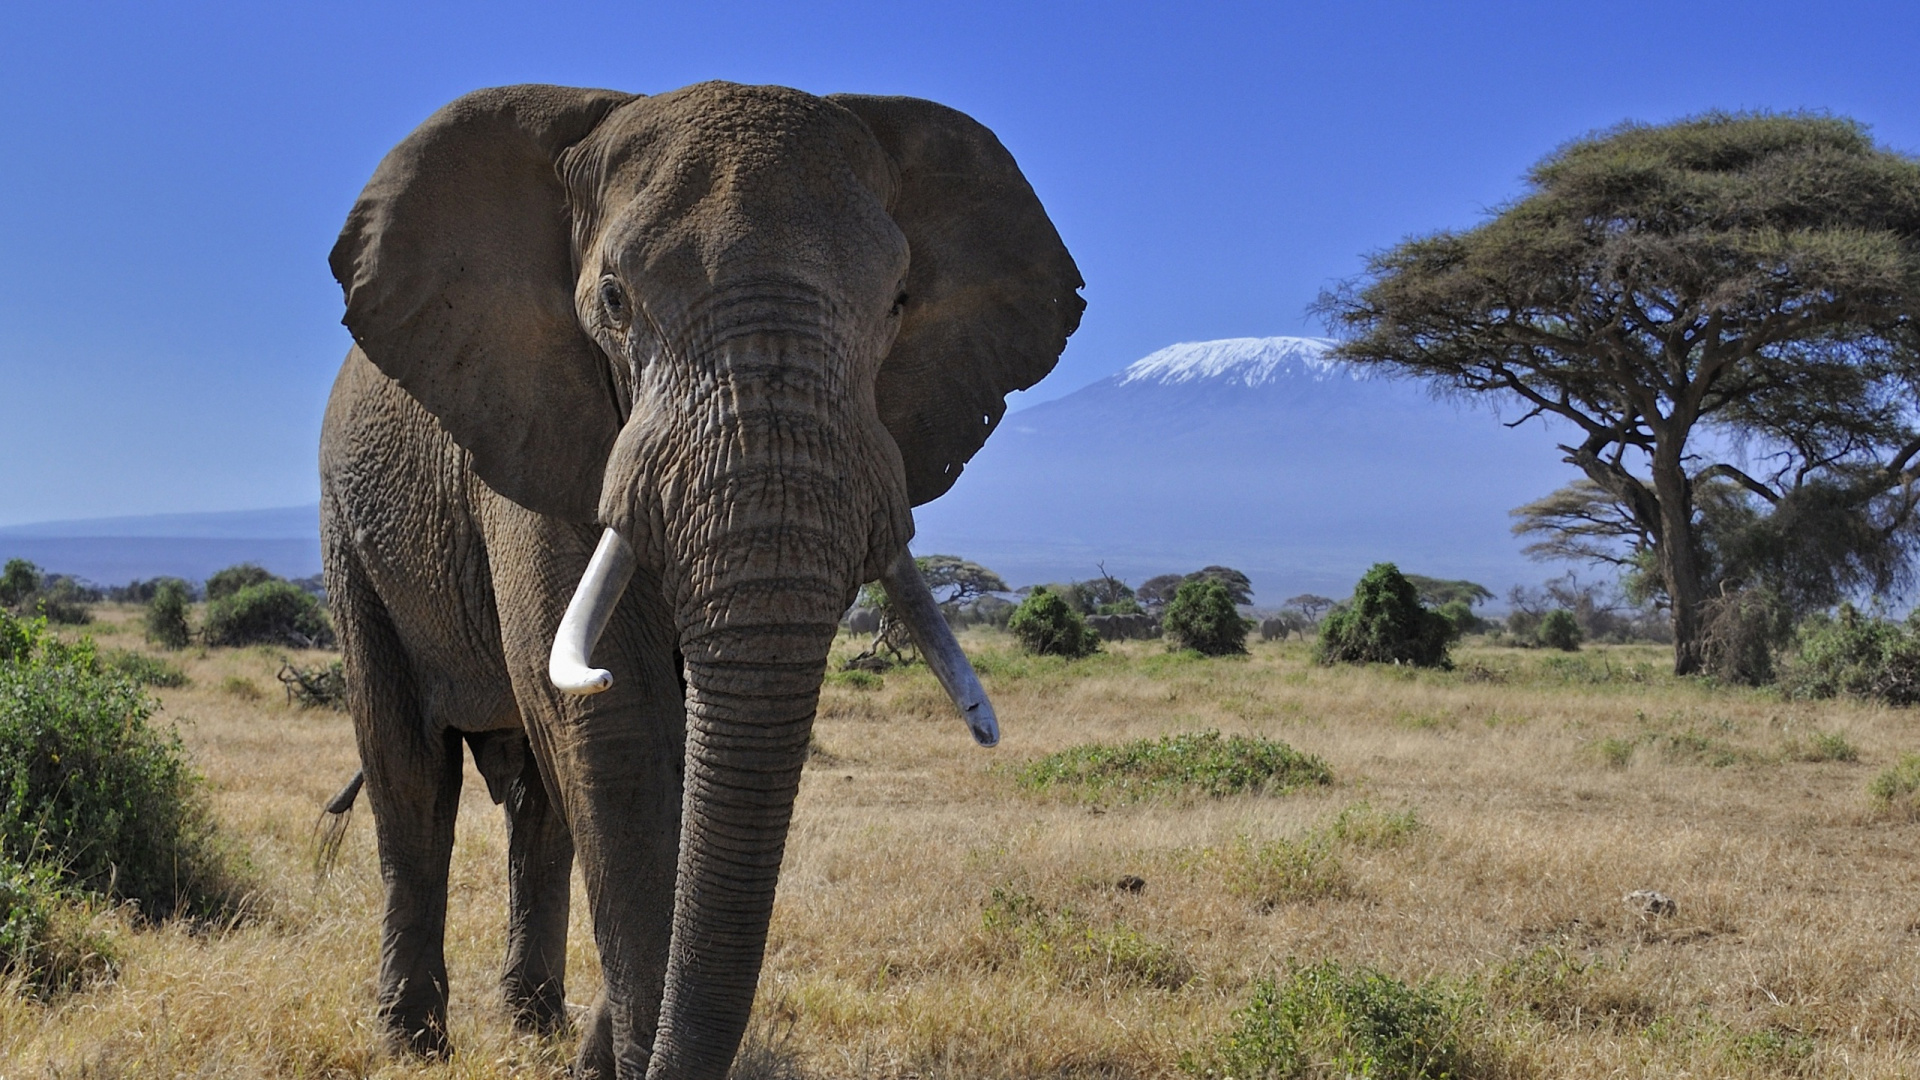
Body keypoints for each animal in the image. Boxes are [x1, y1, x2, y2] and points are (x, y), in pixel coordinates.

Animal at [319, 81, 1082, 1079]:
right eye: (613, 298)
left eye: (899, 301)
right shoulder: (534, 419)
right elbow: (617, 718)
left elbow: (674, 745)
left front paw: (601, 1058)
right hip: (348, 524)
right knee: (410, 771)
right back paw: (411, 1043)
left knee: (536, 804)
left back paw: (534, 1027)